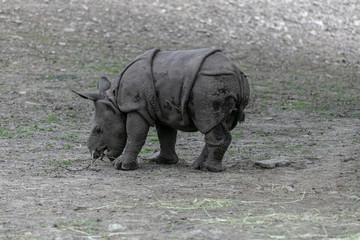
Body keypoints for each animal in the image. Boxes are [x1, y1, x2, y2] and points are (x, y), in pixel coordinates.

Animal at [74, 48, 249, 172]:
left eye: (98, 129)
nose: (94, 153)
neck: (115, 101)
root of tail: (238, 73)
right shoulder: (164, 111)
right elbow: (166, 136)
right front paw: (164, 161)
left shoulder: (136, 106)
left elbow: (135, 135)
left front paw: (123, 166)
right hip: (217, 82)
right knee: (217, 124)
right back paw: (198, 166)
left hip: (210, 84)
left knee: (209, 122)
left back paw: (210, 169)